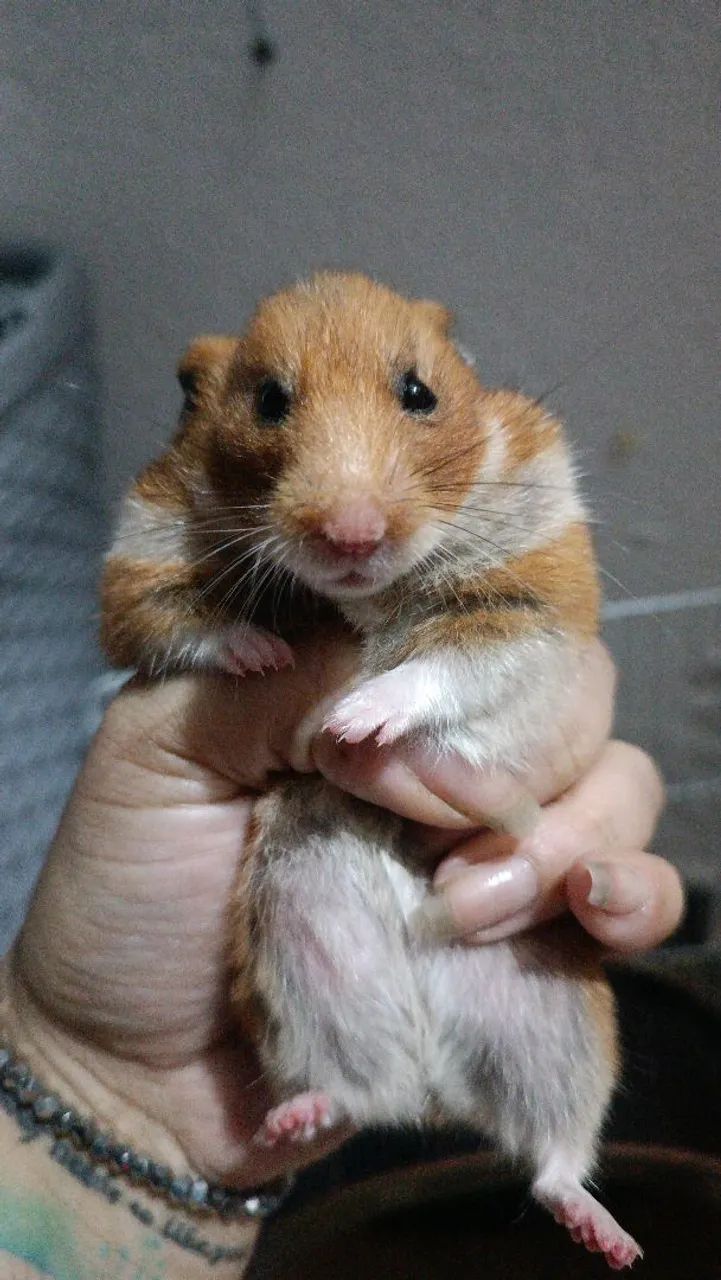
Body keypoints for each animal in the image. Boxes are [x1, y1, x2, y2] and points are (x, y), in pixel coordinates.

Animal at [101, 272, 641, 1270]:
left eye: (418, 392)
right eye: (268, 400)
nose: (351, 534)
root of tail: (439, 1091)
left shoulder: (530, 598)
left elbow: (441, 664)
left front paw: (353, 719)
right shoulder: (140, 558)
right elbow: (187, 621)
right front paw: (267, 657)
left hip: (561, 1020)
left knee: (553, 1153)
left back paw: (612, 1242)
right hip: (303, 969)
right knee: (360, 1090)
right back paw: (291, 1119)